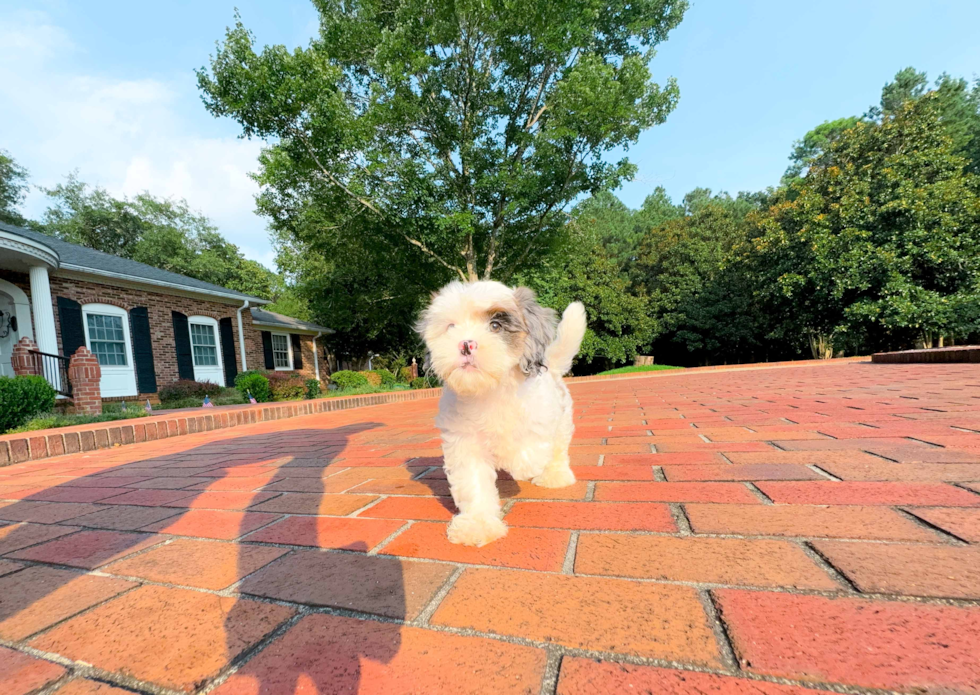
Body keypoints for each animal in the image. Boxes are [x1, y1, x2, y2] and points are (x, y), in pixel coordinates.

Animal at [418, 280, 584, 548]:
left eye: (495, 326)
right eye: (451, 327)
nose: (466, 344)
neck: (490, 391)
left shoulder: (541, 420)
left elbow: (530, 454)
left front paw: (520, 464)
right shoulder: (464, 442)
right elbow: (473, 483)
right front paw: (477, 525)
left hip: (562, 422)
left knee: (558, 451)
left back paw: (555, 476)